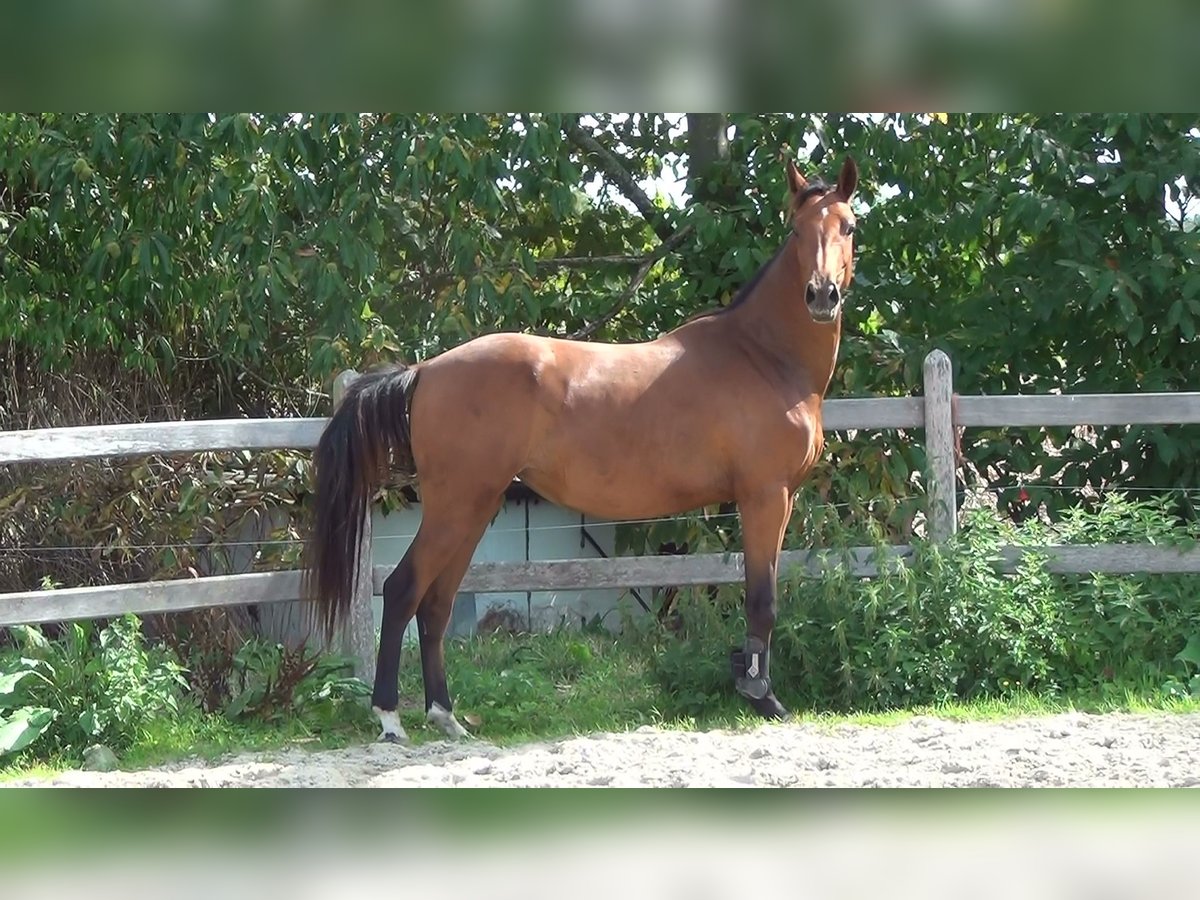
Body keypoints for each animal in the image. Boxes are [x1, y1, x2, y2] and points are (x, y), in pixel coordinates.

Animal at [304, 157, 859, 748]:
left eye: (847, 227)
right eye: (797, 232)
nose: (821, 295)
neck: (762, 356)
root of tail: (426, 369)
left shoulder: (768, 500)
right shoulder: (765, 497)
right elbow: (762, 598)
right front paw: (762, 698)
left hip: (473, 509)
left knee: (436, 604)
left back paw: (446, 716)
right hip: (455, 508)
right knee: (403, 590)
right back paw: (389, 717)